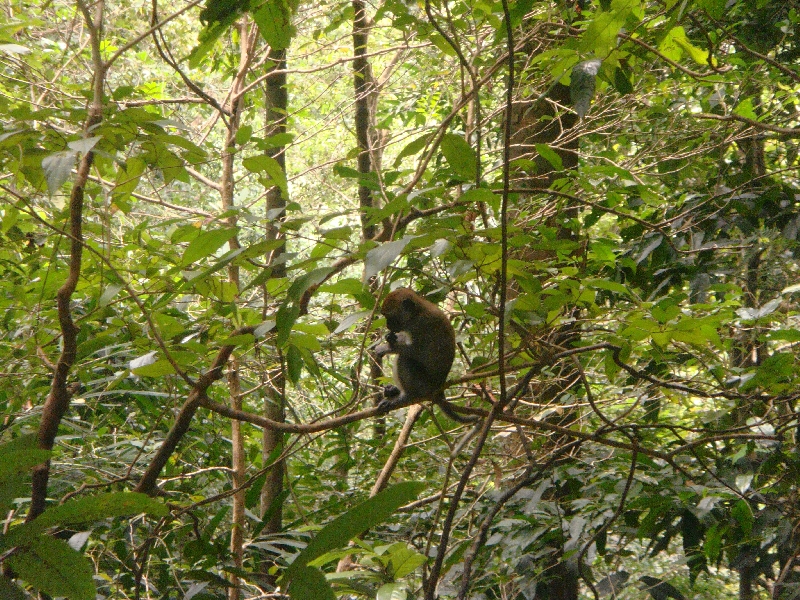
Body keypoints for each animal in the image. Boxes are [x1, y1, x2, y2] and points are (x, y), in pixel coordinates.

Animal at [374, 288, 478, 424]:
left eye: (389, 316)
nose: (388, 326)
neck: (417, 312)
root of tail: (439, 388)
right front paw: (390, 338)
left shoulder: (420, 324)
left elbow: (415, 351)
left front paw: (383, 348)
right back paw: (394, 391)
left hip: (424, 386)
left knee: (404, 359)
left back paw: (406, 396)